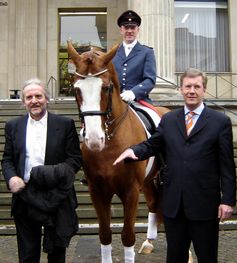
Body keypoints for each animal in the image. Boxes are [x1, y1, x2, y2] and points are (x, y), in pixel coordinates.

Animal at [67, 42, 169, 262]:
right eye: (77, 89)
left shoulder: (130, 191)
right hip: (148, 180)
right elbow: (105, 233)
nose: (94, 140)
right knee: (153, 203)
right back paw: (148, 242)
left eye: (105, 88)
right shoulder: (97, 191)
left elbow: (128, 235)